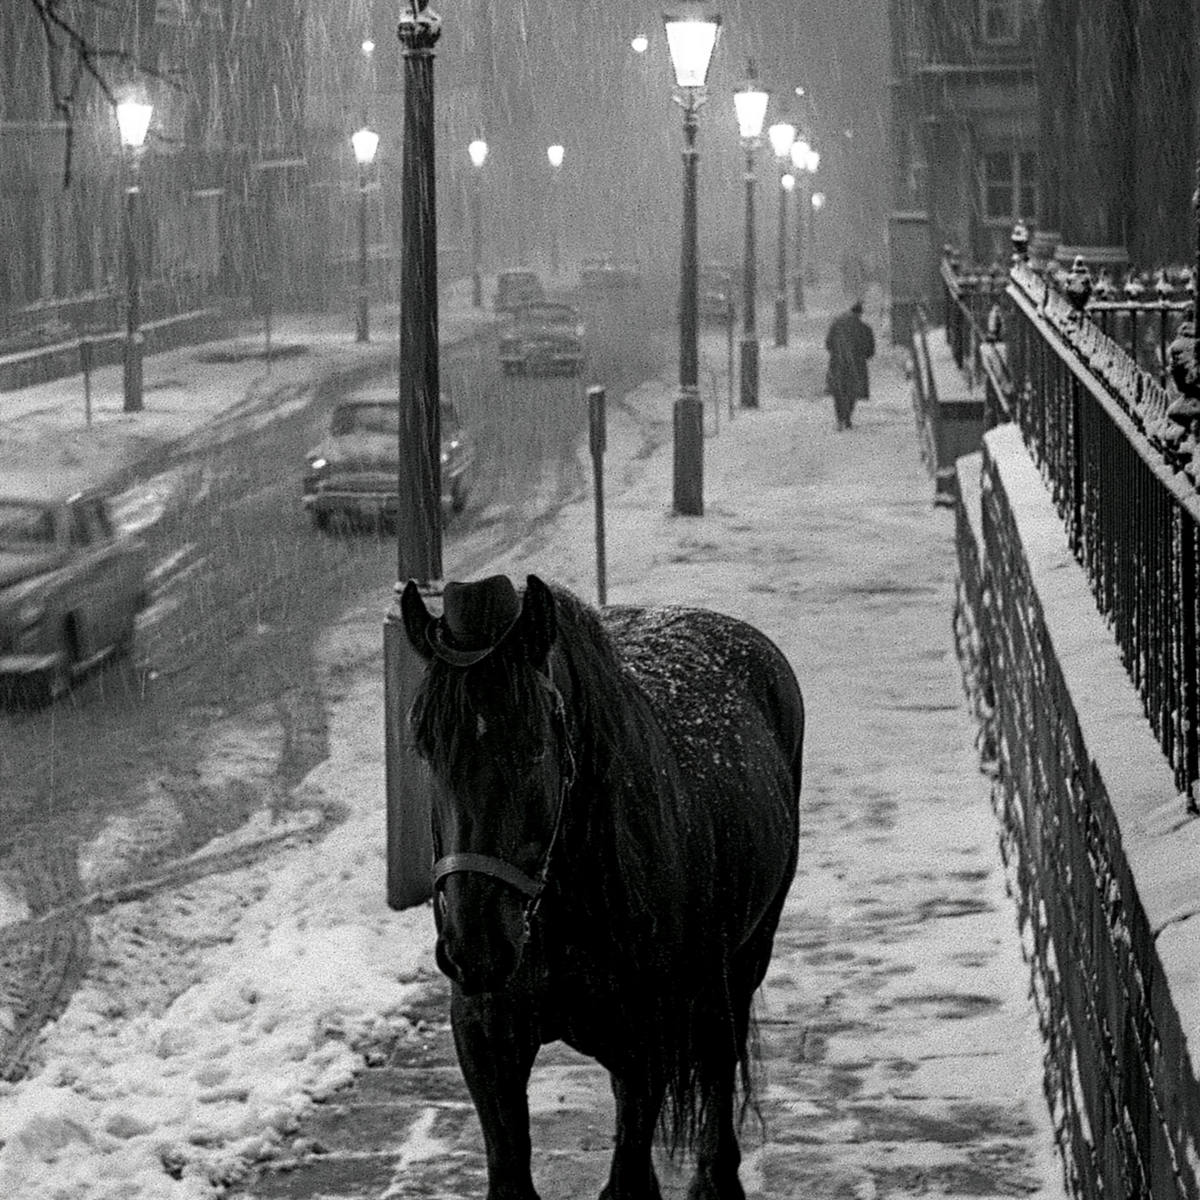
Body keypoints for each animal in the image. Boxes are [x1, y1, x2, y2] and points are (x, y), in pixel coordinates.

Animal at [400, 573, 804, 1200]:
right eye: (426, 747)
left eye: (535, 744)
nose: (477, 949)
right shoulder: (488, 1043)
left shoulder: (645, 1049)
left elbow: (629, 1177)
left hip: (741, 962)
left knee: (720, 1059)